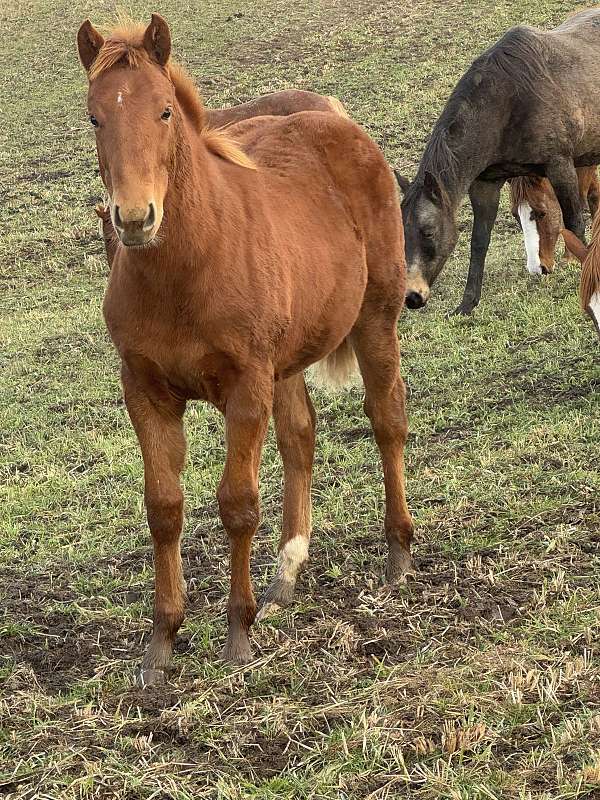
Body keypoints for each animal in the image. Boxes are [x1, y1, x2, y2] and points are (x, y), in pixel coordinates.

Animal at [77, 14, 413, 685]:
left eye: (164, 112)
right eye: (95, 117)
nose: (134, 218)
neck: (188, 269)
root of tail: (338, 121)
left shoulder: (246, 385)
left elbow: (237, 503)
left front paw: (238, 632)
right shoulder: (145, 391)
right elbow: (163, 507)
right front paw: (161, 642)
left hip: (374, 319)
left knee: (387, 417)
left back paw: (397, 554)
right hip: (287, 359)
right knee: (301, 434)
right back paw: (287, 571)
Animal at [396, 8, 600, 315]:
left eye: (428, 232)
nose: (412, 296)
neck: (507, 101)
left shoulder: (560, 165)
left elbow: (573, 220)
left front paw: (575, 265)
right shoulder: (485, 184)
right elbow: (479, 243)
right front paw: (467, 303)